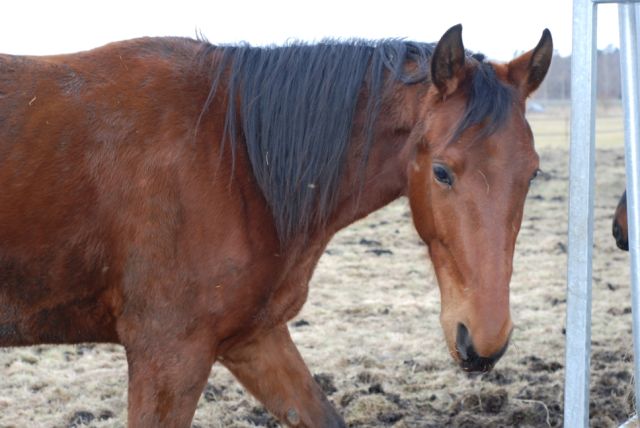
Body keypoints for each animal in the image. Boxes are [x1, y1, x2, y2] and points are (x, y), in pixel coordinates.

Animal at [0, 25, 552, 426]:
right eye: (441, 172)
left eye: (532, 172)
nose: (484, 341)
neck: (237, 156)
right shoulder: (168, 355)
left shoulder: (254, 338)